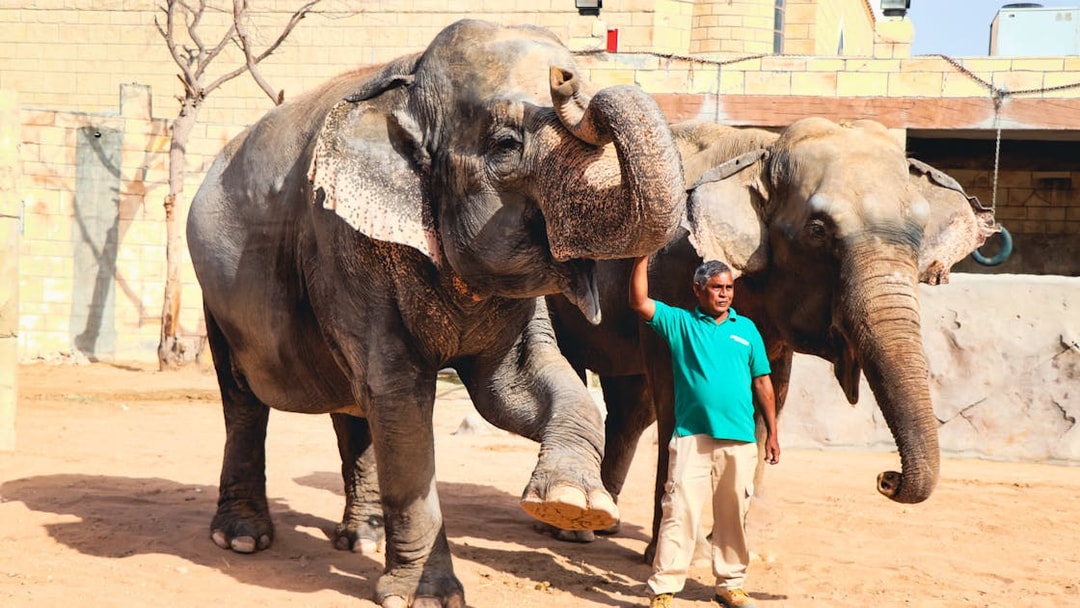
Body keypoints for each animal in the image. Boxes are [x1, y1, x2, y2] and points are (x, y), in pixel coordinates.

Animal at [185, 19, 685, 607]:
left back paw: (362, 539)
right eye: (506, 144)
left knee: (353, 405)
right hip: (215, 298)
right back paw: (242, 539)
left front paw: (571, 503)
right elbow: (400, 398)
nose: (566, 77)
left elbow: (513, 388)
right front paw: (429, 598)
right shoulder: (343, 241)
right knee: (245, 401)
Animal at [545, 117, 1000, 558]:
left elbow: (767, 397)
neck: (765, 152)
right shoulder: (671, 273)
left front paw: (729, 547)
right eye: (818, 230)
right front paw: (680, 553)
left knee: (632, 407)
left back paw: (604, 522)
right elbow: (676, 397)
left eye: (920, 232)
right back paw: (571, 529)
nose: (887, 478)